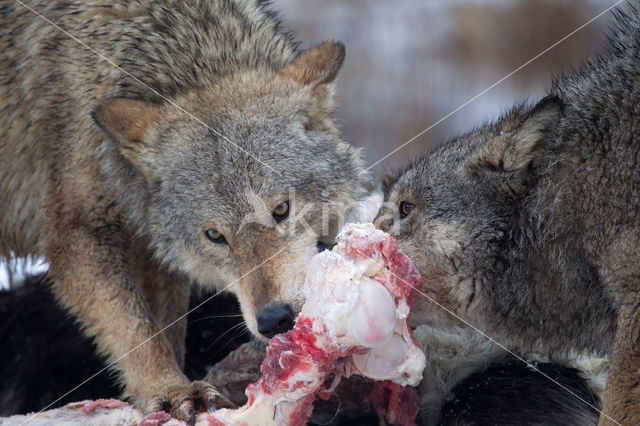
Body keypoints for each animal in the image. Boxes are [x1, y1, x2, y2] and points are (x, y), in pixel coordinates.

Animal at [0, 0, 364, 420]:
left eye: (281, 209)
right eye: (215, 236)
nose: (275, 319)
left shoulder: (149, 247)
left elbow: (167, 330)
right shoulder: (76, 236)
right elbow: (135, 329)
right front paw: (171, 390)